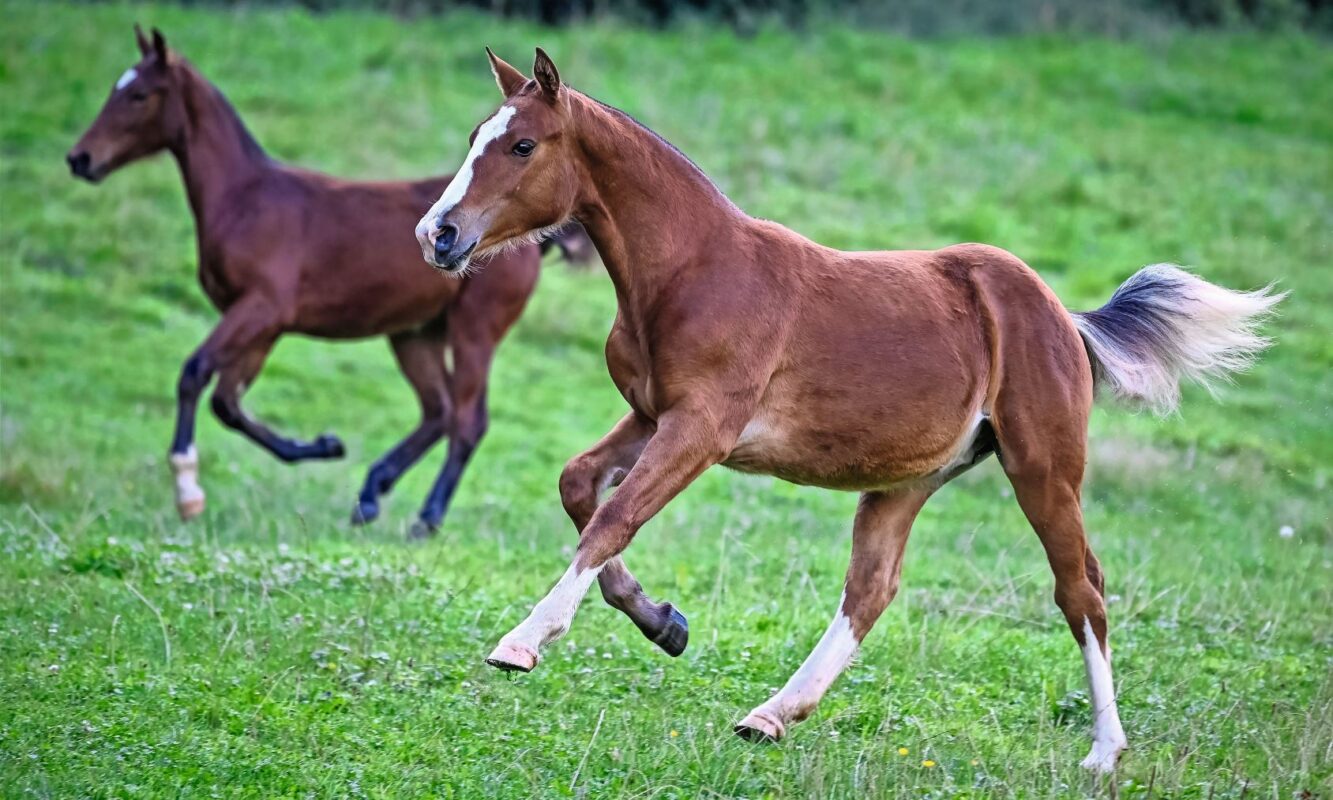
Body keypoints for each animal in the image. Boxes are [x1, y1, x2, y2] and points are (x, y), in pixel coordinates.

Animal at [66, 26, 578, 538]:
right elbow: (228, 403)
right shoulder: (264, 326)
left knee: (468, 420)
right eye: (116, 89)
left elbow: (196, 374)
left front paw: (188, 490)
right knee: (439, 411)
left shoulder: (261, 308)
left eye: (138, 95)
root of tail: (533, 240)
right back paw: (370, 493)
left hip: (475, 329)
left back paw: (426, 517)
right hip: (415, 333)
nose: (80, 158)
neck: (243, 199)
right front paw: (326, 445)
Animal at [413, 48, 1279, 768]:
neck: (693, 269)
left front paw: (523, 642)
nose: (437, 234)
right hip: (904, 481)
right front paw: (664, 623)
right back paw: (769, 715)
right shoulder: (651, 416)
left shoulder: (702, 427)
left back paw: (1103, 751)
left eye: (523, 146)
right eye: (475, 135)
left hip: (1042, 467)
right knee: (871, 589)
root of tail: (1062, 317)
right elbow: (578, 487)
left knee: (1082, 590)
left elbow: (612, 517)